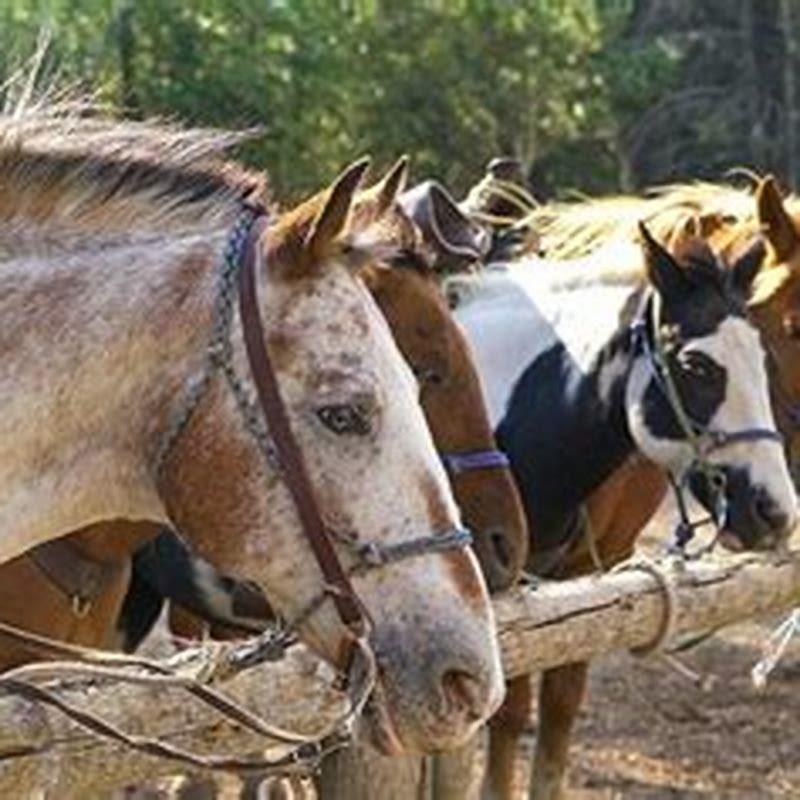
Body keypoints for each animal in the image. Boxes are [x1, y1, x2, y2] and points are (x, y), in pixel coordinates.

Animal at [446, 216, 798, 799]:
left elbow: (559, 709)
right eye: (696, 365)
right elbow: (510, 712)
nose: (775, 511)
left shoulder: (581, 582)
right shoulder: (506, 594)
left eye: (762, 357)